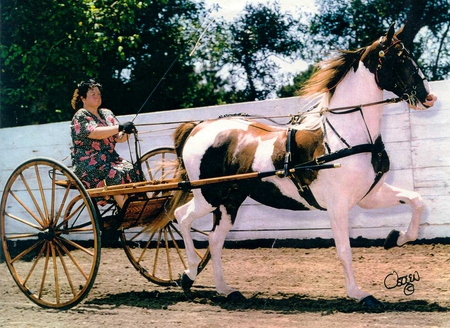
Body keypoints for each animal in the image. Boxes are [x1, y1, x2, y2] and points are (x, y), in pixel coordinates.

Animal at [171, 23, 436, 308]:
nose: (429, 97)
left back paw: (225, 289)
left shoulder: (369, 196)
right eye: (399, 58)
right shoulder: (338, 205)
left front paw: (395, 238)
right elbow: (344, 250)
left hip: (229, 202)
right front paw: (359, 294)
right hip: (207, 196)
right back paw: (189, 272)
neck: (346, 136)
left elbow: (416, 201)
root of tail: (198, 126)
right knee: (182, 217)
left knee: (215, 239)